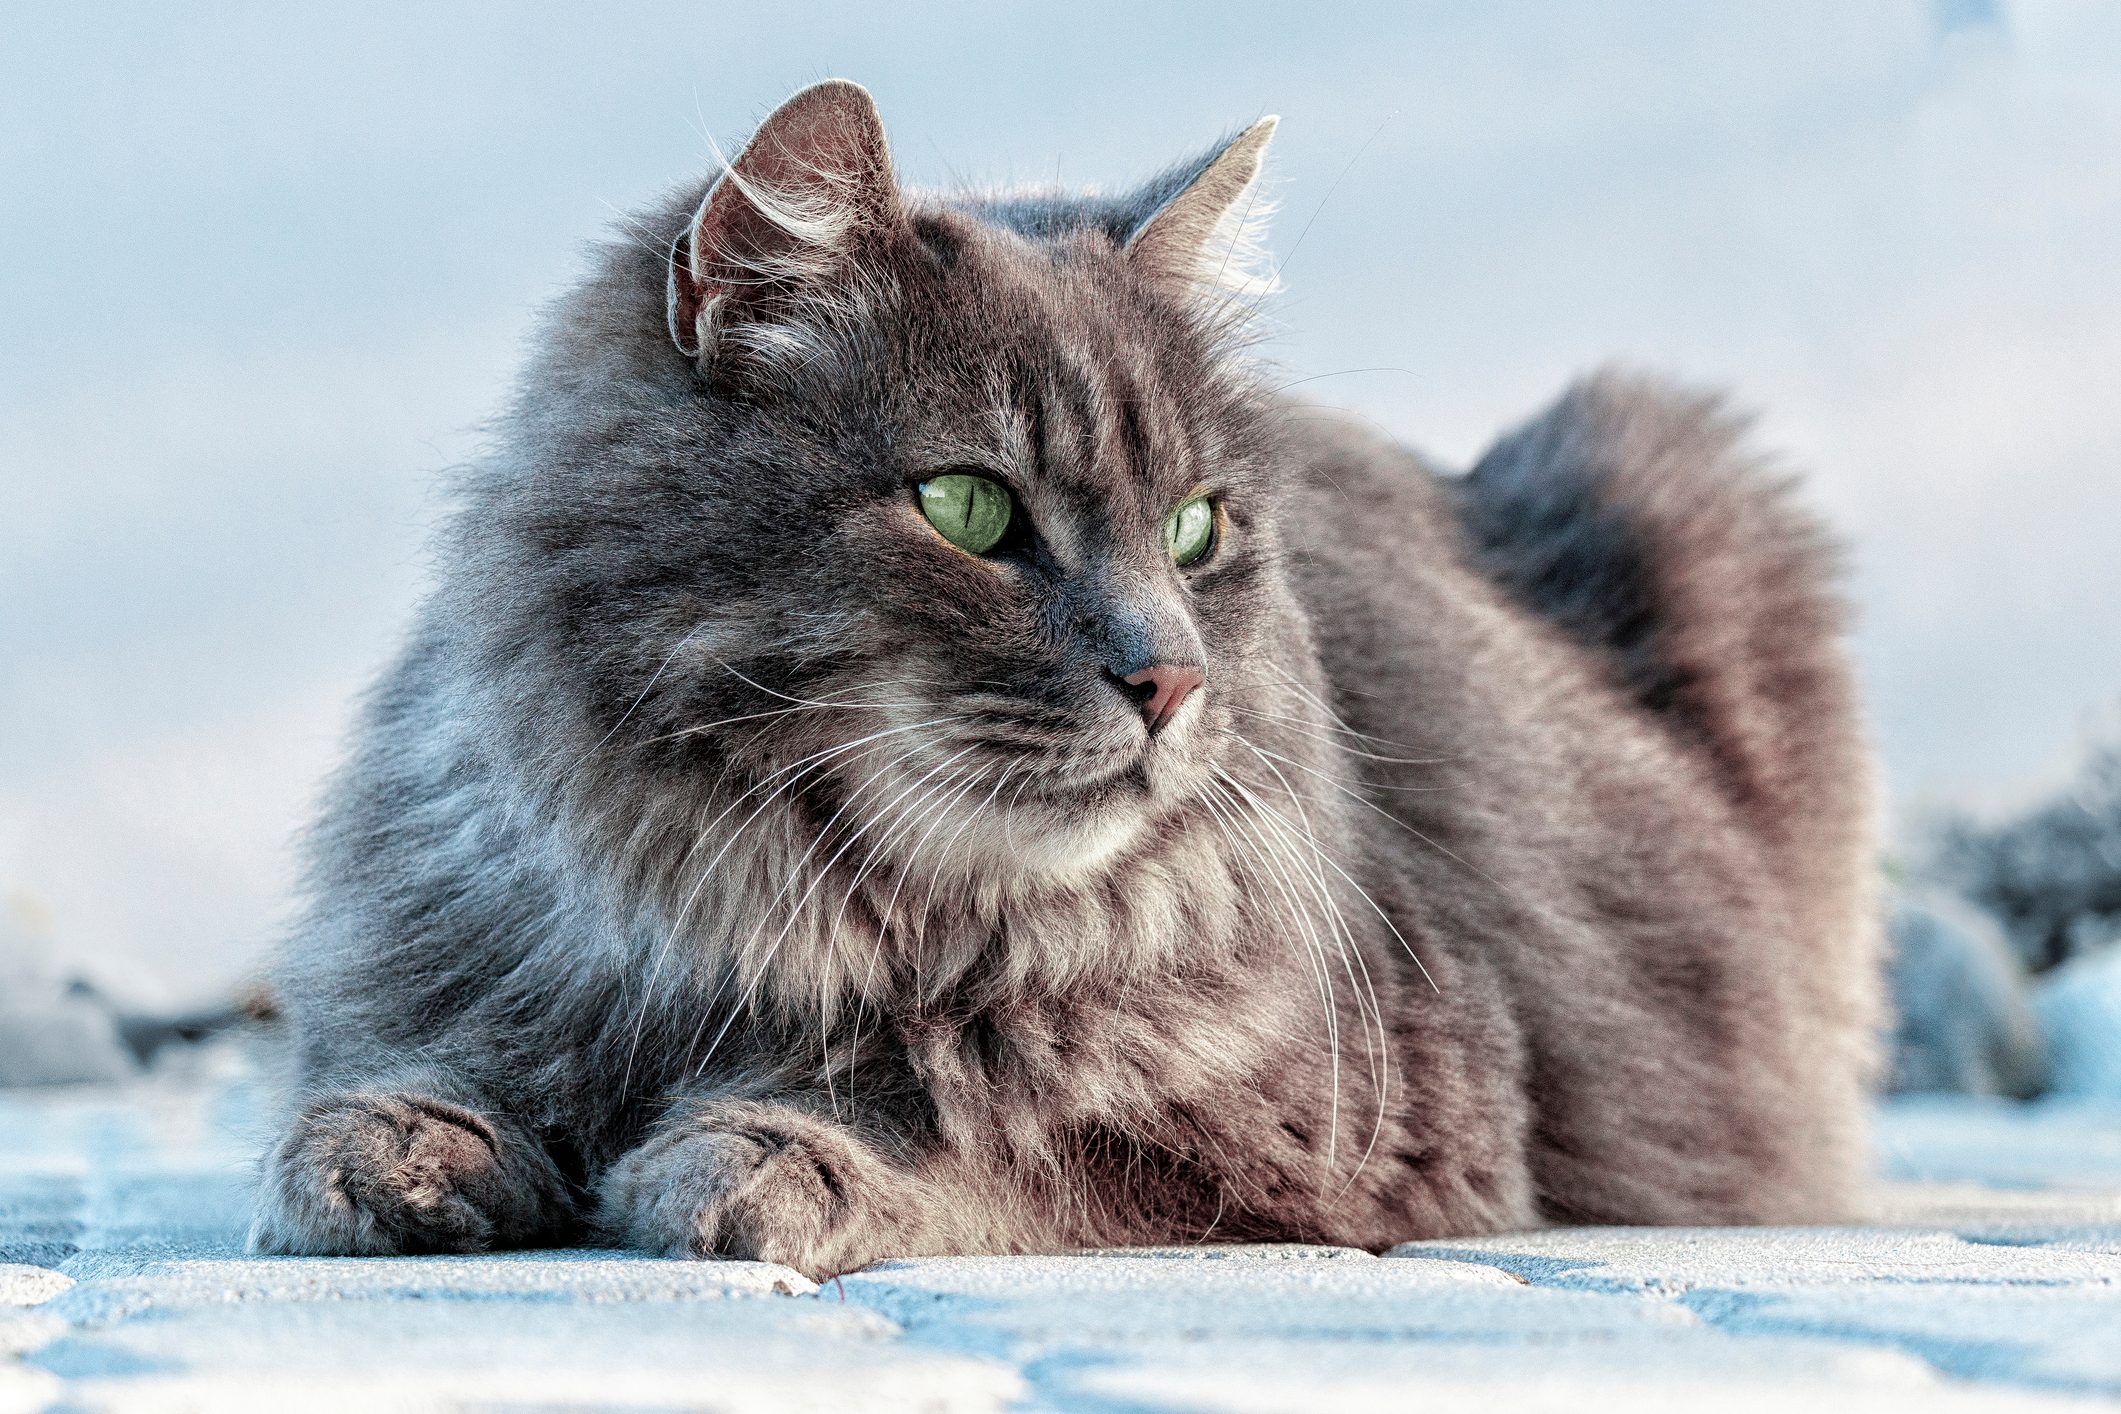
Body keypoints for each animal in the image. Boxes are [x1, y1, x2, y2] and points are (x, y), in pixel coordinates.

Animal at [252, 77, 1891, 1280]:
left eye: (1196, 528)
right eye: (970, 508)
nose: (1167, 679)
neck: (774, 927)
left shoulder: (1358, 1132)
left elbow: (992, 1135)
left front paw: (754, 1156)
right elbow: (398, 1087)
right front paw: (397, 1157)